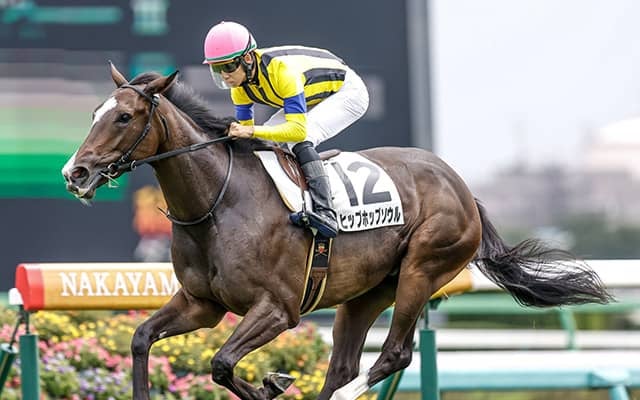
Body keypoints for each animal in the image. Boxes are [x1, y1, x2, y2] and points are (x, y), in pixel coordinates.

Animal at [61, 63, 611, 400]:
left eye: (124, 116)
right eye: (93, 113)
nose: (76, 173)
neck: (219, 204)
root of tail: (460, 185)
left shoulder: (278, 309)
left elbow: (221, 364)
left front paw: (272, 384)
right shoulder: (202, 304)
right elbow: (141, 339)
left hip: (423, 268)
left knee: (393, 354)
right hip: (365, 293)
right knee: (343, 363)